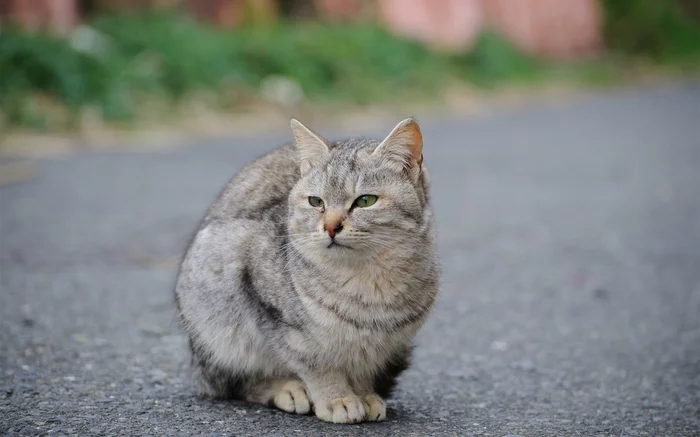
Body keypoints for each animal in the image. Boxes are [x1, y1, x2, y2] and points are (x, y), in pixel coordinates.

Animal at [174, 116, 438, 422]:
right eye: (316, 202)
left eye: (365, 201)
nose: (331, 227)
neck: (368, 278)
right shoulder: (281, 322)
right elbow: (317, 366)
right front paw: (338, 399)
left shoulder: (379, 344)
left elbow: (362, 367)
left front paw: (364, 394)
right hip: (217, 325)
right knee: (234, 383)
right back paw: (288, 389)